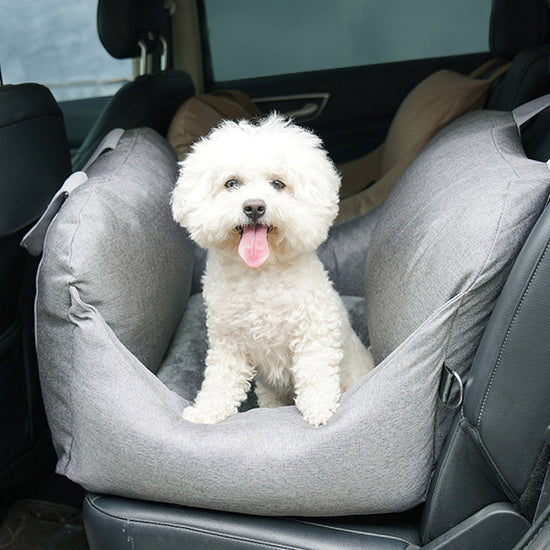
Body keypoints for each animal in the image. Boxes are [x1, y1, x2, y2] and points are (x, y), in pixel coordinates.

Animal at [172, 115, 376, 426]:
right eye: (231, 183)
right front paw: (206, 412)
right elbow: (220, 381)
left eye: (278, 184)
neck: (260, 273)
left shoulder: (314, 331)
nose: (254, 206)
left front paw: (319, 407)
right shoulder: (228, 343)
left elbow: (315, 372)